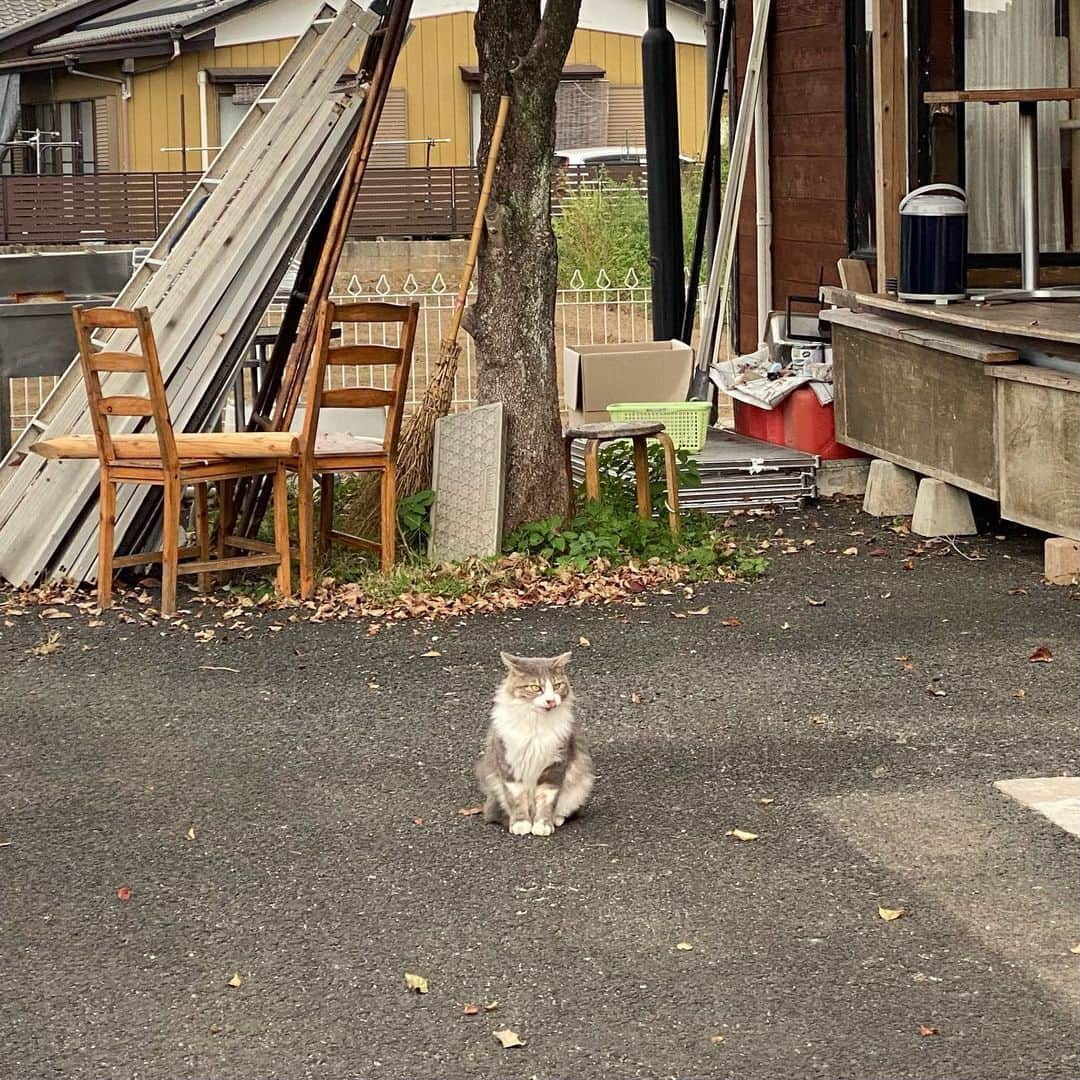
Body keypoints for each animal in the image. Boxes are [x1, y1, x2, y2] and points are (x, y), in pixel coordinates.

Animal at [477, 648, 596, 833]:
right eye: (535, 687)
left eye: (557, 686)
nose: (551, 700)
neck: (536, 723)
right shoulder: (508, 763)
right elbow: (516, 798)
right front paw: (520, 823)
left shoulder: (555, 764)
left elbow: (547, 798)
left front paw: (543, 824)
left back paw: (557, 818)